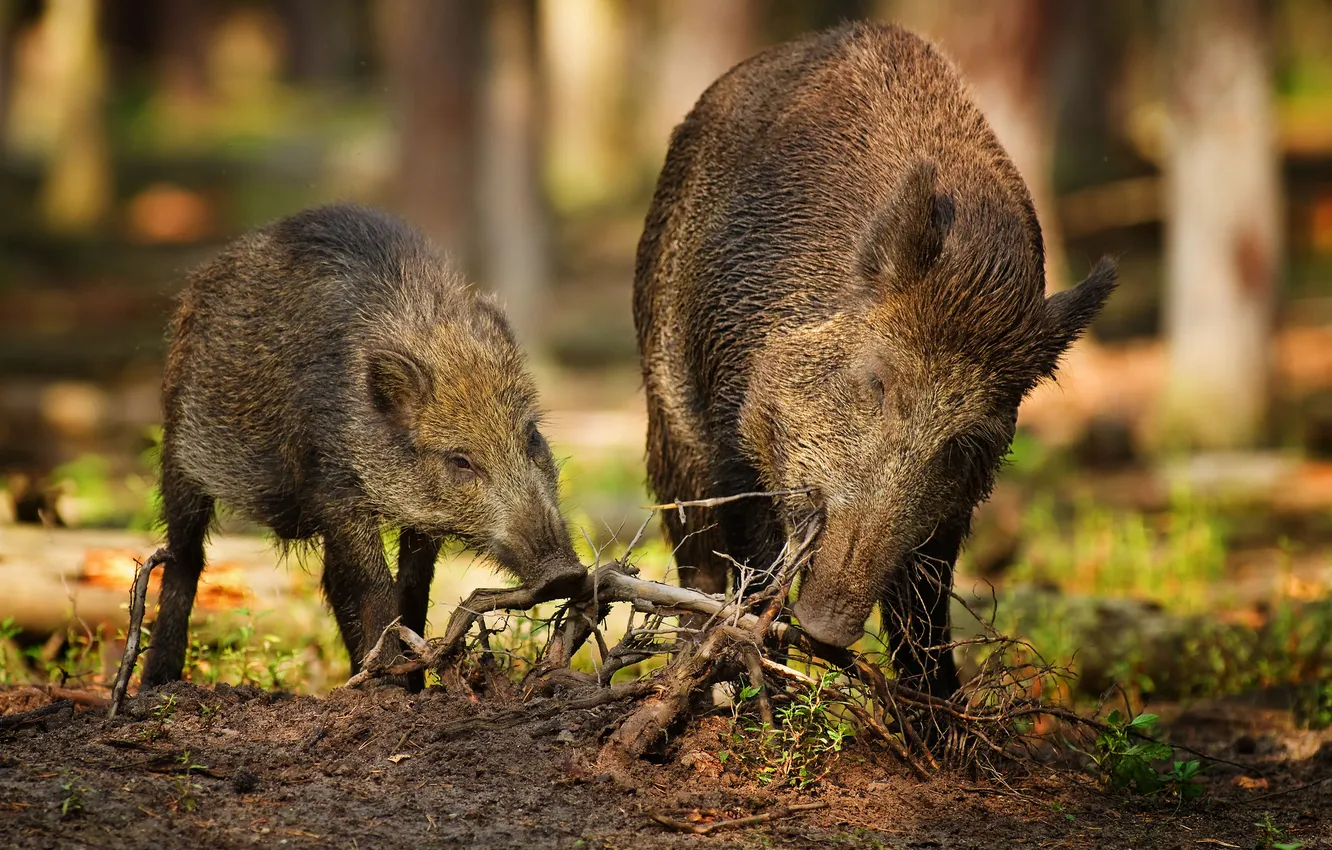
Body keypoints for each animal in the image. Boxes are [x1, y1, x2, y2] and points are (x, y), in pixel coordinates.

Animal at [142, 204, 586, 690]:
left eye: (532, 436)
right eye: (461, 460)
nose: (565, 574)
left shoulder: (417, 515)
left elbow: (413, 585)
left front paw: (412, 684)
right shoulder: (335, 488)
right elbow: (375, 585)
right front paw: (392, 689)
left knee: (330, 581)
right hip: (179, 450)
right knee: (184, 557)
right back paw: (155, 684)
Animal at [633, 22, 1116, 699]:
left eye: (969, 439)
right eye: (877, 381)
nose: (828, 626)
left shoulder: (952, 511)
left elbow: (923, 608)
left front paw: (942, 719)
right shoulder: (732, 420)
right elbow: (753, 558)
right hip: (667, 421)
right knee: (694, 559)